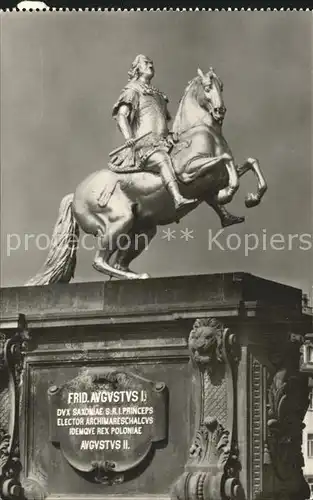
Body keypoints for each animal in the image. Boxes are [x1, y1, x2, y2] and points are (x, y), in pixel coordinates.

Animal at [26, 67, 266, 286]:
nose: (219, 110)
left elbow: (250, 162)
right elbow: (225, 160)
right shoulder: (188, 173)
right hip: (118, 222)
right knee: (100, 261)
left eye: (221, 86)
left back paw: (133, 275)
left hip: (143, 230)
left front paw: (250, 199)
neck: (200, 131)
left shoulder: (213, 181)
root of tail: (75, 194)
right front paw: (229, 193)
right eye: (207, 87)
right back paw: (137, 275)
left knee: (118, 261)